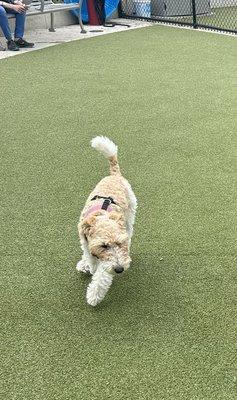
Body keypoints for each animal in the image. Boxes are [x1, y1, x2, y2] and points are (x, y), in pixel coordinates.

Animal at [77, 137, 137, 306]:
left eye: (119, 243)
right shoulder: (85, 241)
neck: (102, 214)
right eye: (104, 245)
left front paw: (93, 296)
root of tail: (114, 174)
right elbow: (90, 256)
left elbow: (101, 275)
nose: (120, 269)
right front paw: (88, 265)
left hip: (130, 214)